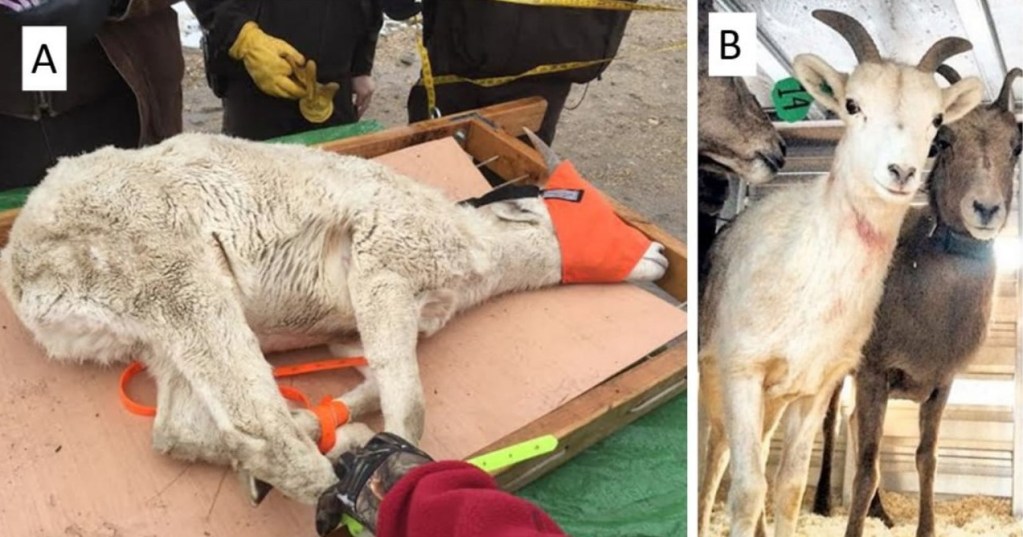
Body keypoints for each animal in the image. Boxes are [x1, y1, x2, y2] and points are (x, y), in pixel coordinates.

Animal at [0, 130, 668, 505]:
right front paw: (396, 459)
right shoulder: (383, 266)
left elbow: (379, 379)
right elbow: (412, 406)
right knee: (257, 428)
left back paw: (318, 436)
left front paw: (350, 412)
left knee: (175, 431)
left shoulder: (373, 325)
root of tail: (21, 268)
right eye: (590, 214)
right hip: (175, 278)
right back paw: (338, 474)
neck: (474, 260)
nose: (661, 256)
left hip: (155, 331)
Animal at [809, 65, 1021, 537]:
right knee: (832, 420)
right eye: (944, 141)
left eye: (1017, 146)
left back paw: (882, 514)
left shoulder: (941, 384)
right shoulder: (873, 372)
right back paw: (822, 505)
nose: (985, 209)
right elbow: (866, 468)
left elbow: (926, 459)